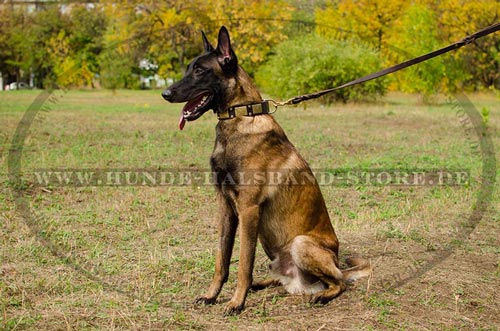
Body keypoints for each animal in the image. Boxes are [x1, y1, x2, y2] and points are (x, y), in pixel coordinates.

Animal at [162, 26, 370, 316]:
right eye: (188, 69)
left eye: (200, 71)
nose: (165, 94)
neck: (239, 116)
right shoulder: (225, 207)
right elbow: (222, 261)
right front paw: (212, 295)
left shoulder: (249, 209)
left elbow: (243, 264)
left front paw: (236, 302)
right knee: (284, 279)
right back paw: (263, 284)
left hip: (301, 243)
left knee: (339, 282)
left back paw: (321, 295)